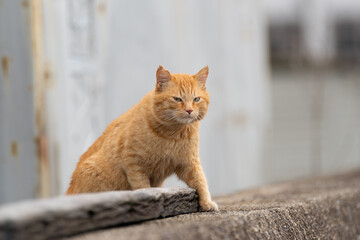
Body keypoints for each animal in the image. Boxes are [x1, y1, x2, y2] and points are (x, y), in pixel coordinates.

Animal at [67, 65, 218, 210]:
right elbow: (144, 188)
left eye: (196, 99)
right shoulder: (135, 165)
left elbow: (201, 182)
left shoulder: (189, 163)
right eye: (177, 99)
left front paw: (207, 202)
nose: (189, 110)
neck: (172, 134)